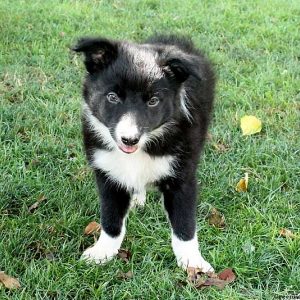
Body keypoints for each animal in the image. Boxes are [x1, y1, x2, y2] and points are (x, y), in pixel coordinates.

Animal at [73, 34, 216, 272]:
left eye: (153, 101)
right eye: (112, 97)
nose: (129, 139)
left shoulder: (182, 176)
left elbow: (185, 223)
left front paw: (192, 263)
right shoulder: (107, 173)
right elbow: (110, 219)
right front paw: (102, 253)